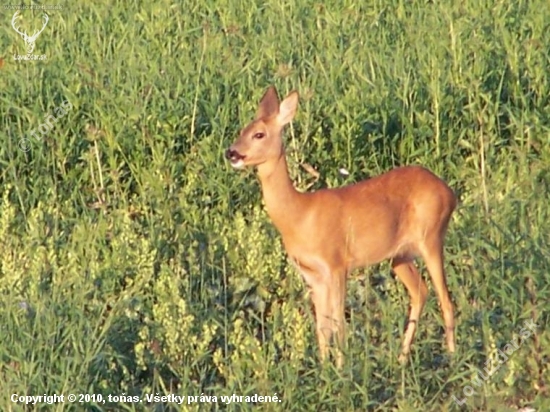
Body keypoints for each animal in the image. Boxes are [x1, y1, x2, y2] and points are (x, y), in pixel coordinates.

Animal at [224, 85, 458, 366]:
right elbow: (322, 326)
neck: (299, 216)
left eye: (259, 134)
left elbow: (339, 324)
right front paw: (326, 369)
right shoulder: (312, 274)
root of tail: (450, 193)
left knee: (446, 300)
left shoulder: (336, 263)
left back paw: (452, 357)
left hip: (431, 237)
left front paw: (342, 368)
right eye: (242, 130)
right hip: (399, 255)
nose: (231, 153)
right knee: (420, 291)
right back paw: (402, 360)